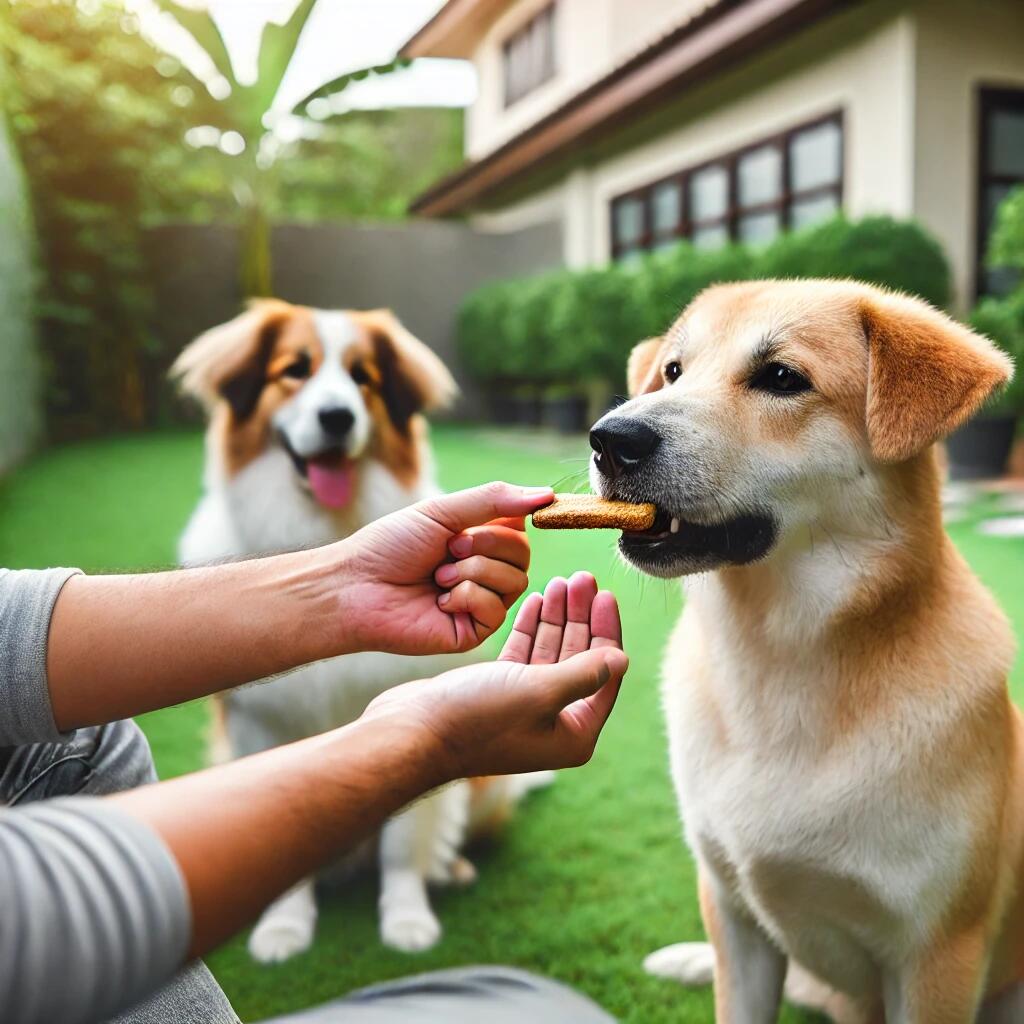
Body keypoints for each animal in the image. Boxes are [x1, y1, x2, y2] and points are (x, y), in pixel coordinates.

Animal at [172, 299, 548, 962]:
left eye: (363, 379)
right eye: (294, 370)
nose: (338, 417)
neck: (326, 528)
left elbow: (402, 846)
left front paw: (407, 920)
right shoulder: (258, 729)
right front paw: (283, 928)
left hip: (485, 786)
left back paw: (450, 869)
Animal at [593, 276, 1024, 1019]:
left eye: (781, 378)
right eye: (673, 371)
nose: (609, 439)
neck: (773, 655)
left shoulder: (939, 955)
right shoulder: (735, 915)